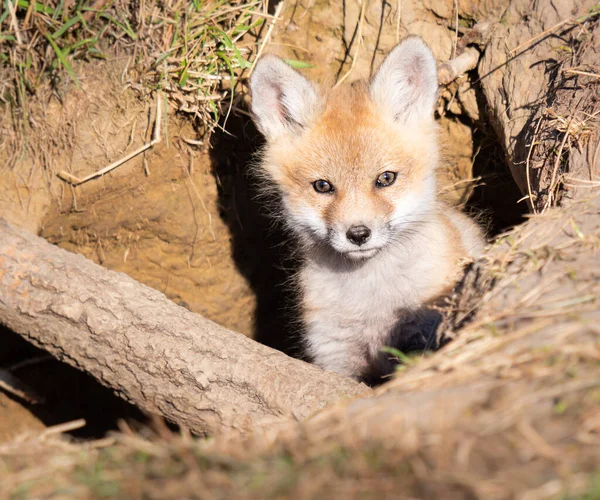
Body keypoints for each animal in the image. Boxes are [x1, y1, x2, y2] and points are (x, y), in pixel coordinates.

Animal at [251, 37, 486, 380]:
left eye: (385, 178)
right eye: (323, 186)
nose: (358, 234)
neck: (372, 300)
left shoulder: (425, 330)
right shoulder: (335, 355)